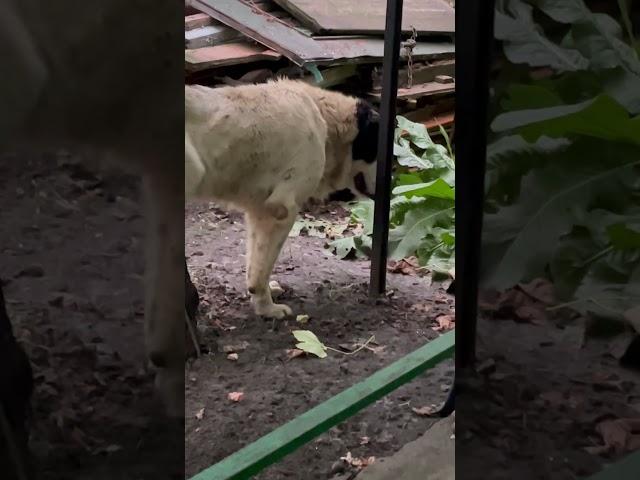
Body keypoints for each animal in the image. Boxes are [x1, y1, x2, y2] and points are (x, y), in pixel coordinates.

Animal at [185, 79, 378, 318]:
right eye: (378, 150)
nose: (391, 180)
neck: (324, 117)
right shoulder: (281, 210)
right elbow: (264, 265)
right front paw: (267, 308)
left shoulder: (258, 210)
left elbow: (255, 261)